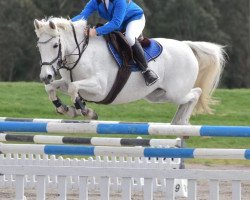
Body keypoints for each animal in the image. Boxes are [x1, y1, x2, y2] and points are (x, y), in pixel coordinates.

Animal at [33, 18, 225, 124]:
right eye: (39, 47)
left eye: (55, 45)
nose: (46, 76)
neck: (82, 52)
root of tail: (186, 46)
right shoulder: (67, 82)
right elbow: (52, 88)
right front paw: (66, 109)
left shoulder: (100, 88)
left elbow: (74, 89)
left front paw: (86, 111)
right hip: (157, 95)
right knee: (187, 98)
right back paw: (177, 123)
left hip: (175, 93)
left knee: (195, 93)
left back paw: (182, 122)